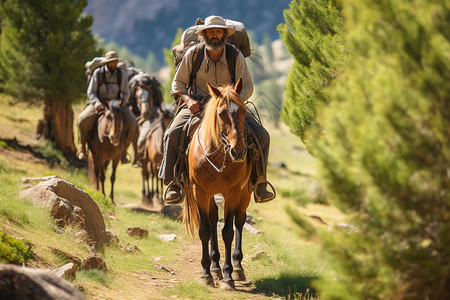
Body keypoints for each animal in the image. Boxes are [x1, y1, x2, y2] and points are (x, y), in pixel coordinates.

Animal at [184, 78, 253, 290]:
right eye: (221, 114)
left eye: (242, 111)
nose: (238, 152)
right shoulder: (200, 192)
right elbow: (205, 230)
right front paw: (206, 273)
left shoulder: (232, 193)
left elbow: (228, 232)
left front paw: (228, 275)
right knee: (214, 219)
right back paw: (215, 267)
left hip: (246, 192)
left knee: (240, 220)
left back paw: (237, 268)